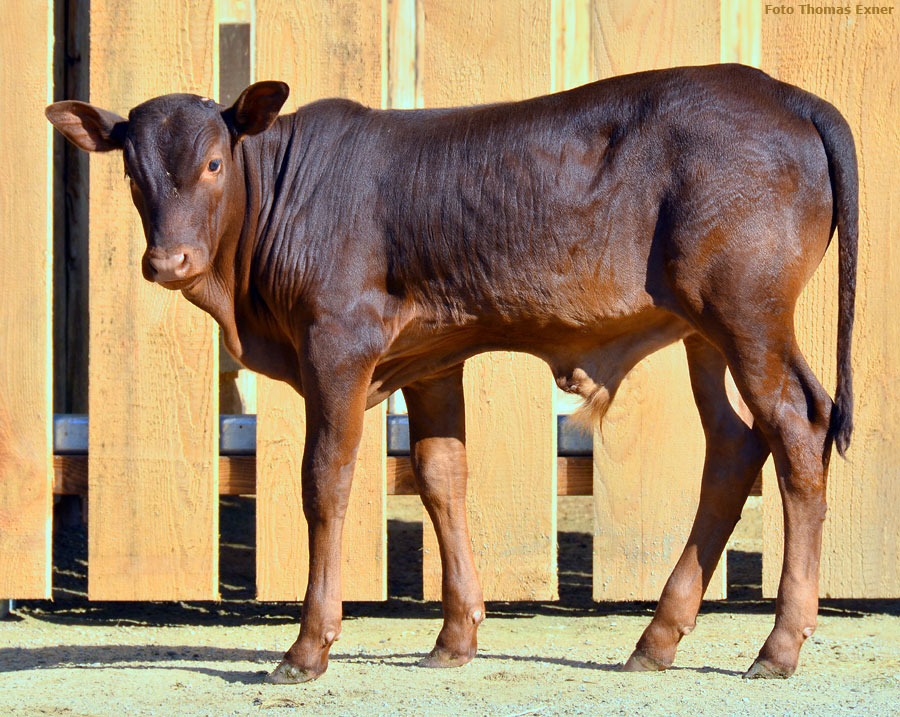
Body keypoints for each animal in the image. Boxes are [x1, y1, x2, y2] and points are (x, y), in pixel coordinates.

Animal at [47, 64, 856, 680]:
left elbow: (325, 482)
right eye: (132, 172)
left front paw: (308, 647)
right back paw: (657, 637)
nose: (168, 261)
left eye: (214, 163)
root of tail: (783, 94)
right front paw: (456, 634)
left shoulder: (338, 341)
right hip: (705, 330)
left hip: (746, 314)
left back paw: (778, 645)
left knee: (797, 432)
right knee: (734, 446)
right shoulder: (429, 358)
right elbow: (441, 474)